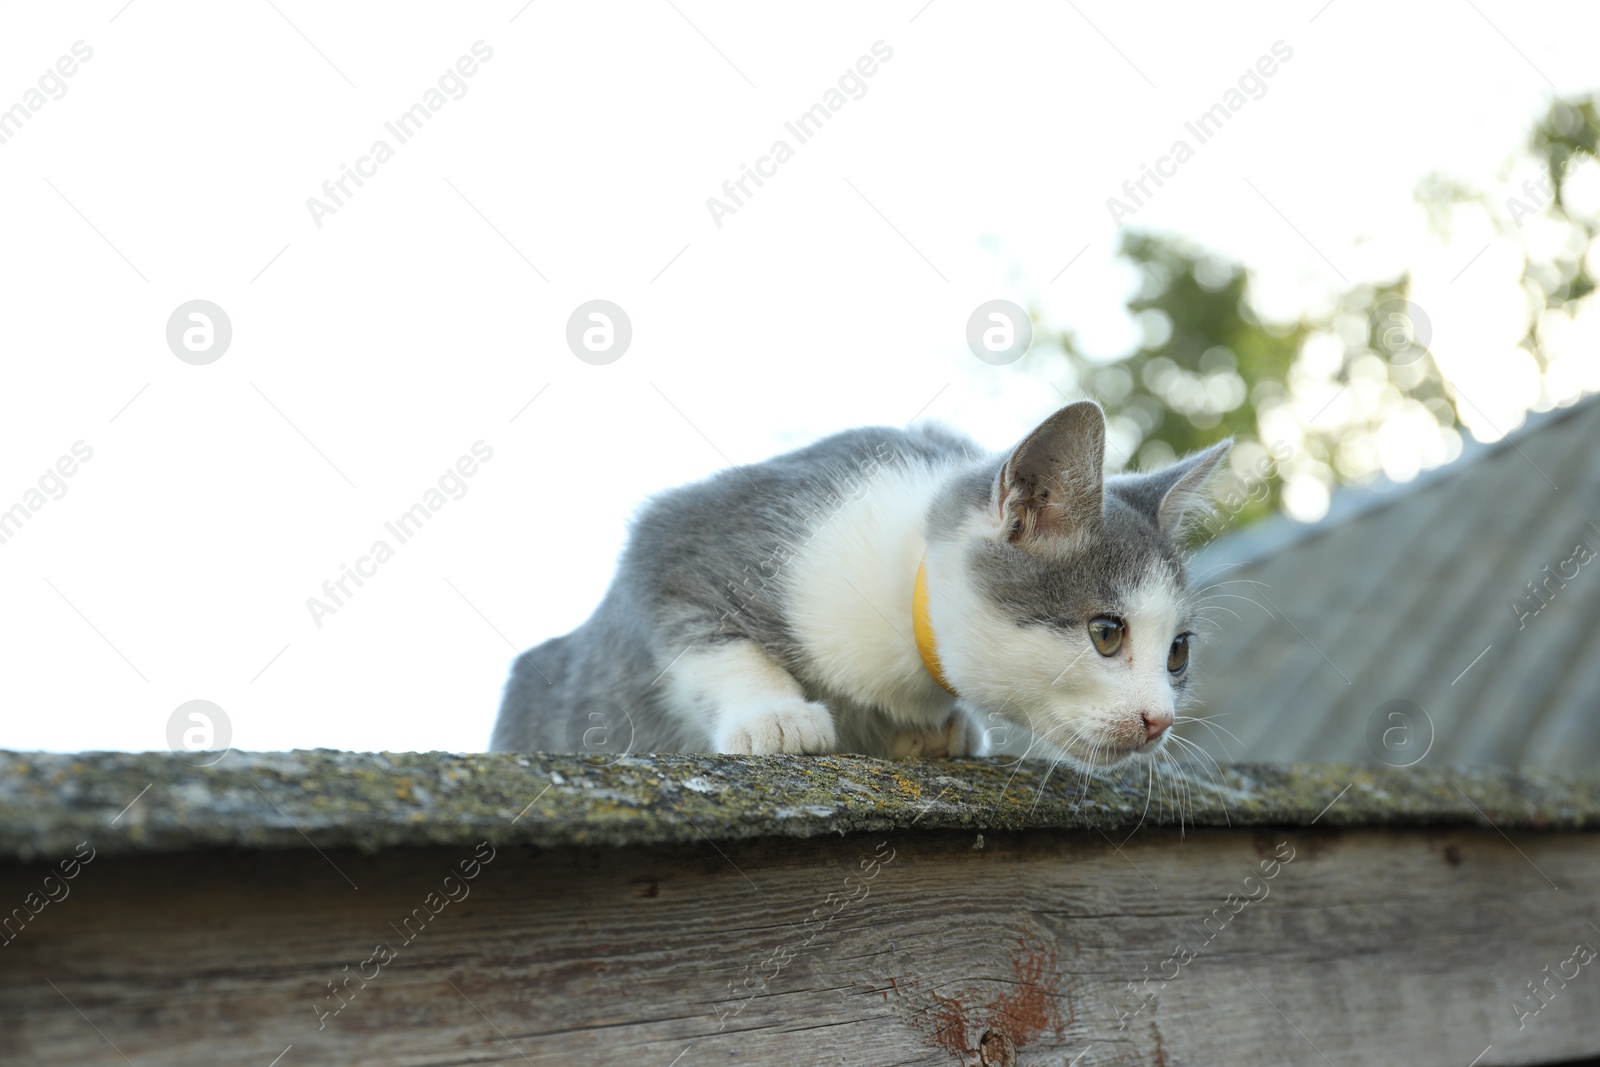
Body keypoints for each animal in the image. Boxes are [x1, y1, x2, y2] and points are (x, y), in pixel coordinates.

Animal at [492, 399, 1228, 767]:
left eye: (1178, 652)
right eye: (1106, 632)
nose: (1158, 719)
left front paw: (938, 728)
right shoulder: (677, 536)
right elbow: (707, 638)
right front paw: (775, 716)